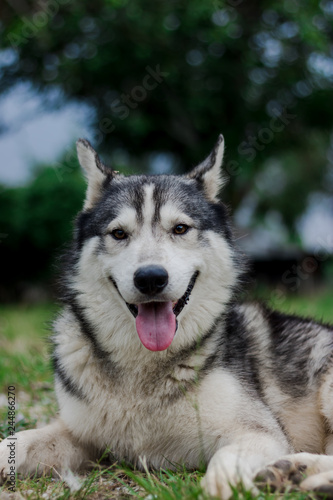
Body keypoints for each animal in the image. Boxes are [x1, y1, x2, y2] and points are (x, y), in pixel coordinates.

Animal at [0, 135, 332, 498]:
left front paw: (221, 484)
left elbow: (227, 458)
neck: (142, 371)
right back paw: (296, 472)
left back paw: (297, 471)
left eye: (180, 228)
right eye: (119, 233)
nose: (150, 278)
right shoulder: (81, 435)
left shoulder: (258, 432)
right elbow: (18, 441)